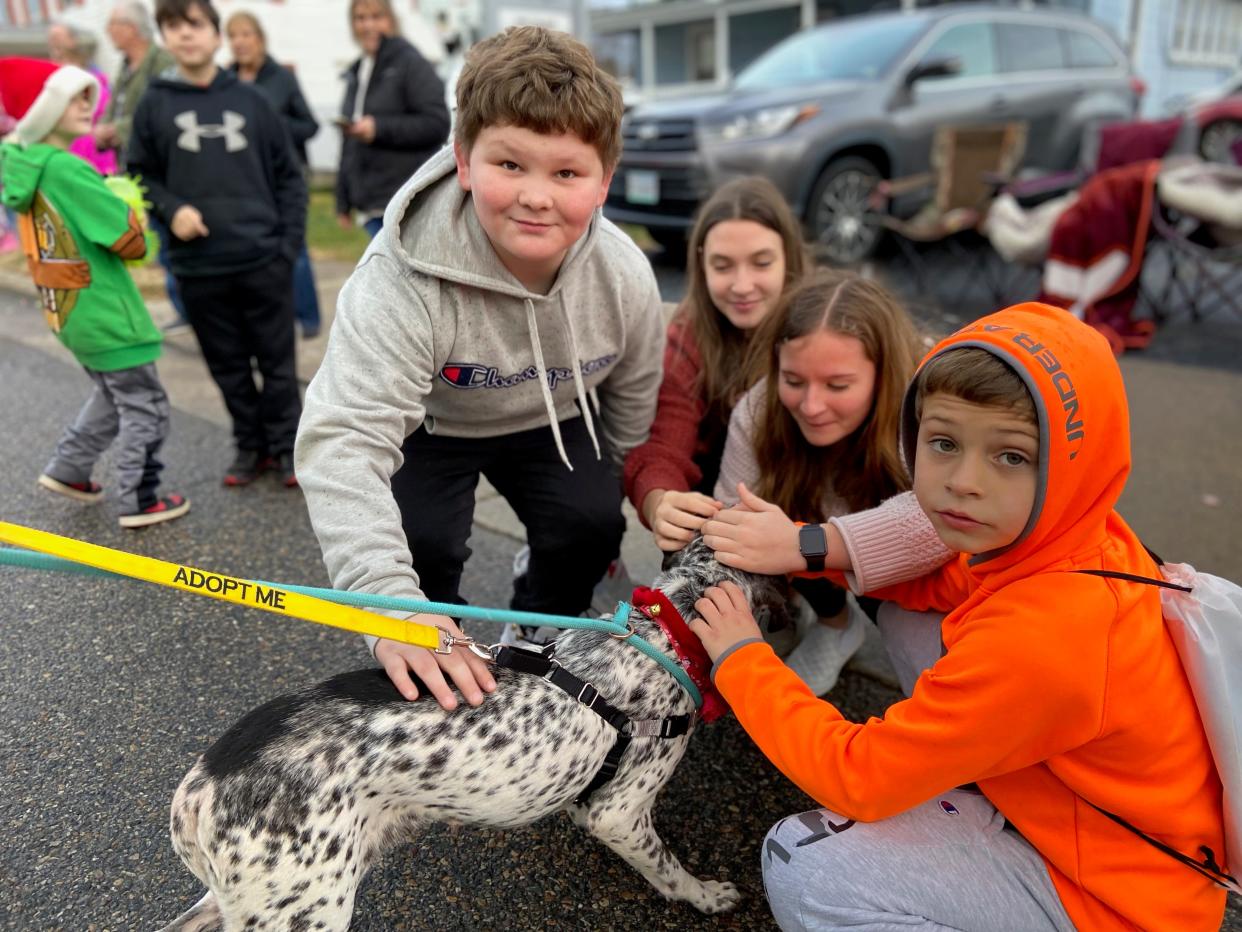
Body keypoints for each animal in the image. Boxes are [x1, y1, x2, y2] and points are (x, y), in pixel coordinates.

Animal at [160, 539, 789, 932]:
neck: (661, 634)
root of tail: (199, 787)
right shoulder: (619, 813)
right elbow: (669, 870)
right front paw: (705, 895)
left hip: (246, 898)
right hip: (303, 908)